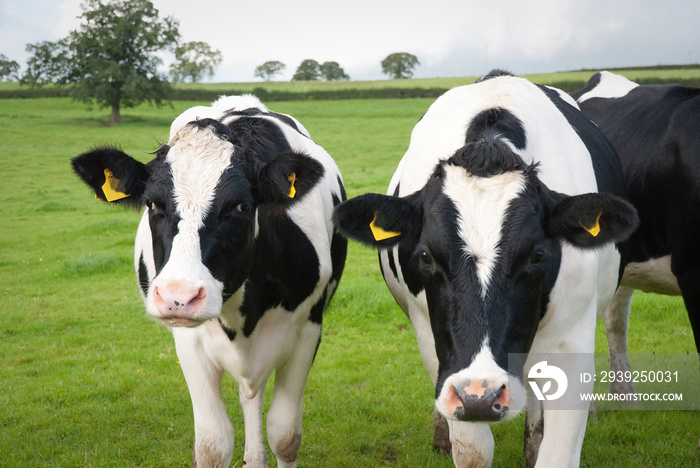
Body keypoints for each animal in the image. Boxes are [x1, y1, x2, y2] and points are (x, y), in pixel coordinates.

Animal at [71, 93, 348, 466]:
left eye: (240, 206)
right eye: (152, 204)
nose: (179, 296)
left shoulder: (307, 328)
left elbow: (285, 434)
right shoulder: (189, 341)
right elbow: (212, 444)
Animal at [334, 71, 640, 466]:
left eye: (538, 255)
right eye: (425, 256)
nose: (482, 395)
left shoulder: (572, 338)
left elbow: (557, 451)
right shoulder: (438, 346)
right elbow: (473, 449)